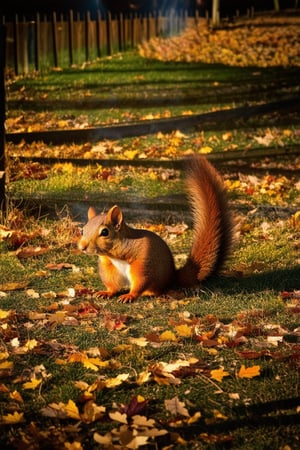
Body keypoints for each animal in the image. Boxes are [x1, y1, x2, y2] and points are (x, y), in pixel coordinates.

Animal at [78, 155, 233, 302]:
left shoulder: (141, 262)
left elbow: (140, 282)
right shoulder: (108, 267)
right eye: (83, 230)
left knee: (156, 288)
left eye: (105, 232)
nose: (82, 247)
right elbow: (112, 285)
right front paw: (106, 293)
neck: (114, 255)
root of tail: (172, 276)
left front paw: (130, 296)